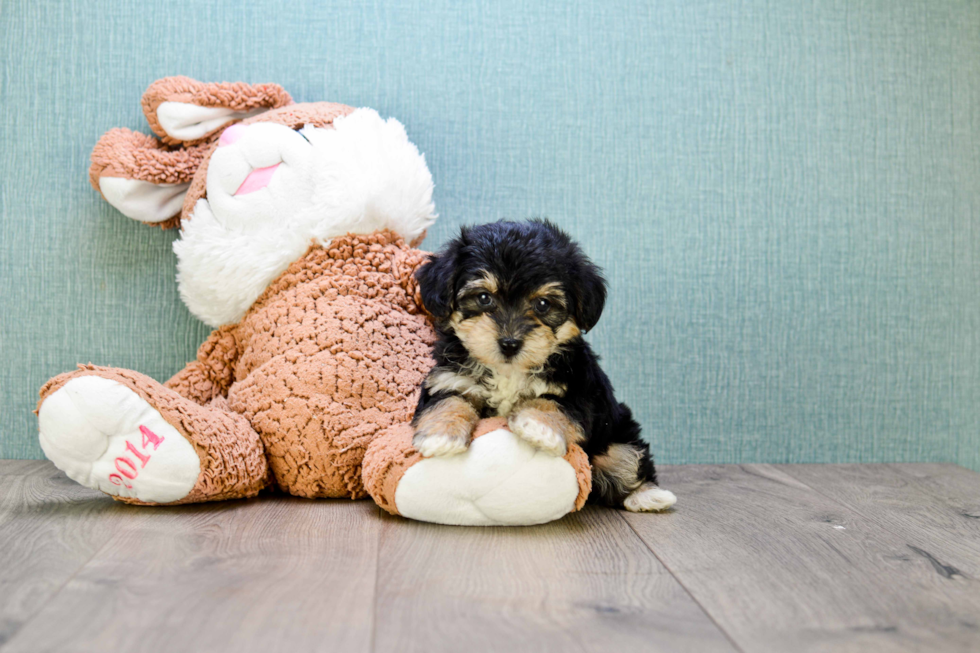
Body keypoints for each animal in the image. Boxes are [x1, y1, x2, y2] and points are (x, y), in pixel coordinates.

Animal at [412, 222, 672, 512]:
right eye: (484, 298)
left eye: (543, 304)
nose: (510, 343)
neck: (509, 371)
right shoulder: (449, 379)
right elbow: (449, 401)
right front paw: (441, 436)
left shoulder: (581, 390)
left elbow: (552, 402)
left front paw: (539, 426)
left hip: (617, 435)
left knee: (626, 460)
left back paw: (649, 496)